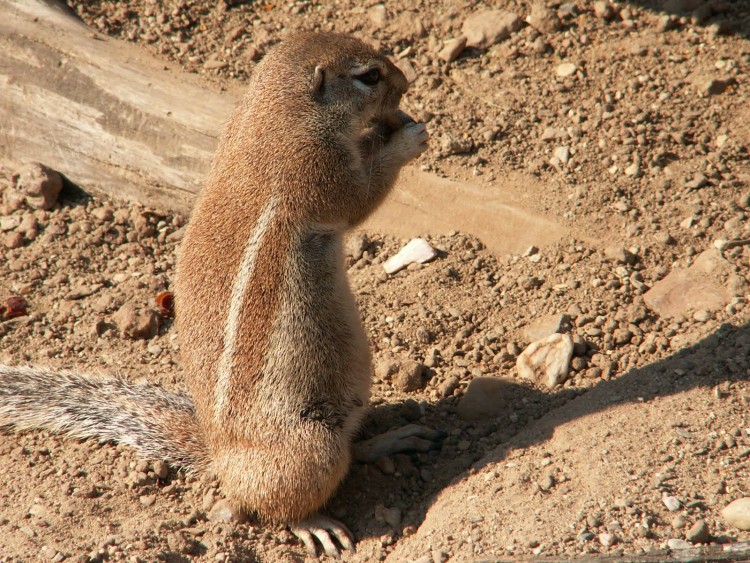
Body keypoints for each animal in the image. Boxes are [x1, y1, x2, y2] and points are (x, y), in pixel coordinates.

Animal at [0, 33, 438, 556]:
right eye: (369, 76)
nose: (406, 82)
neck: (275, 112)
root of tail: (219, 460)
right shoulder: (318, 171)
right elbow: (362, 197)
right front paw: (408, 137)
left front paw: (397, 122)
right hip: (308, 449)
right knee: (277, 507)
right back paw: (316, 524)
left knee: (352, 450)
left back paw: (394, 439)